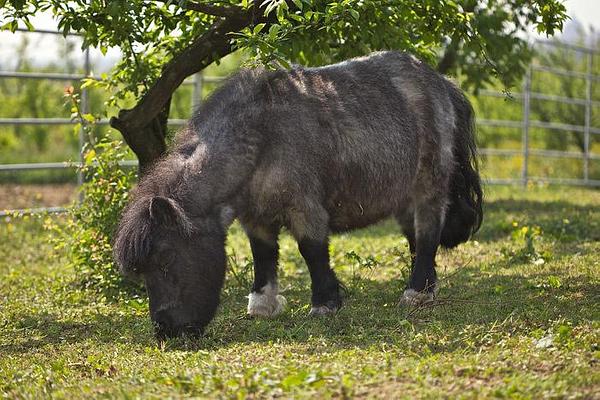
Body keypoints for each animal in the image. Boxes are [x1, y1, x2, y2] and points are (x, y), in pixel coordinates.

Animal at [113, 50, 482, 338]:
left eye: (165, 259)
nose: (165, 330)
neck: (262, 136)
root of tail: (441, 83)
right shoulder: (255, 218)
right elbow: (263, 255)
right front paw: (262, 305)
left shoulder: (305, 207)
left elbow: (312, 251)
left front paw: (325, 303)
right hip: (402, 197)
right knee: (417, 239)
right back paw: (426, 288)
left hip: (428, 186)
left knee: (428, 232)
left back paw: (415, 292)